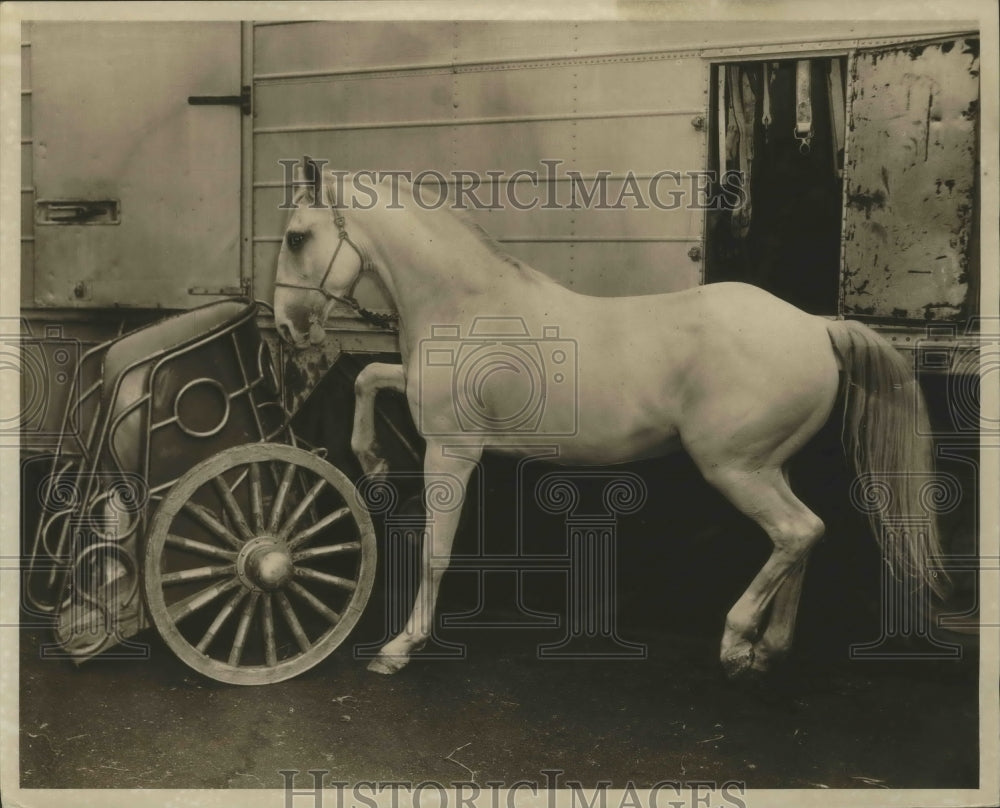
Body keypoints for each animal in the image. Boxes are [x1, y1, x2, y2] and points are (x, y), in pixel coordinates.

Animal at [274, 161, 944, 680]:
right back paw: (770, 648)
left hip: (734, 469)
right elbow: (367, 377)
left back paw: (735, 643)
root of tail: (816, 327)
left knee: (798, 532)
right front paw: (372, 461)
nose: (286, 327)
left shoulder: (452, 448)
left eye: (297, 237)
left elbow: (435, 552)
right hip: (767, 466)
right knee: (804, 535)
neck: (469, 304)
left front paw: (399, 648)